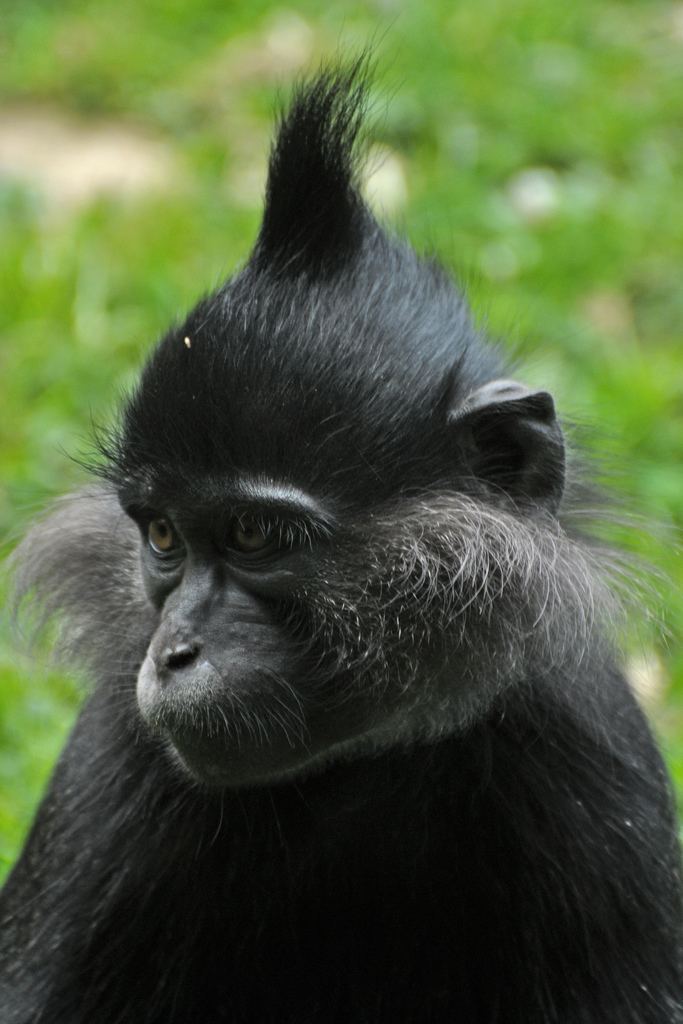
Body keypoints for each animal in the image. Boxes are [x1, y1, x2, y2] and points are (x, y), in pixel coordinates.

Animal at [1, 66, 683, 1024]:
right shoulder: (117, 752)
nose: (171, 653)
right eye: (163, 535)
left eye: (254, 534)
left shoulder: (588, 747)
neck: (363, 767)